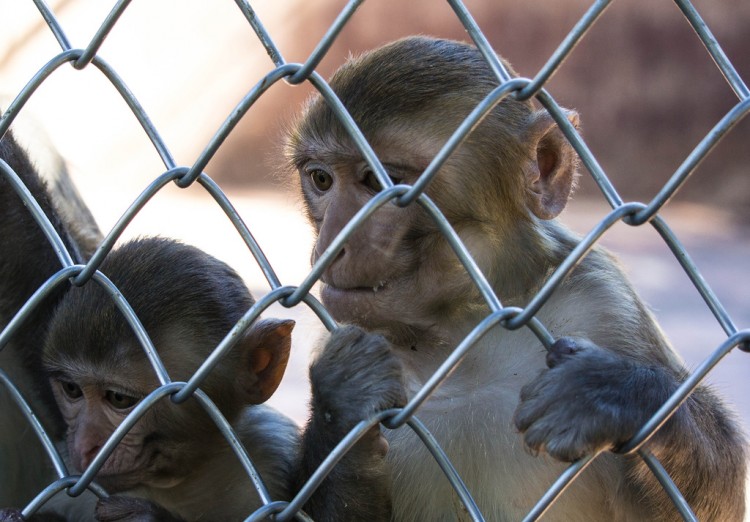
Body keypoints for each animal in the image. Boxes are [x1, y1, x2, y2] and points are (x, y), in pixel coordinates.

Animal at [0, 131, 406, 520]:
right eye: (71, 390)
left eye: (119, 399)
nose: (85, 446)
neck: (179, 479)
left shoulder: (271, 446)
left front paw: (343, 402)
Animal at [284, 34, 748, 516]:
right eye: (321, 180)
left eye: (379, 182)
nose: (332, 242)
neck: (462, 335)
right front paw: (343, 399)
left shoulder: (602, 297)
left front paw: (613, 393)